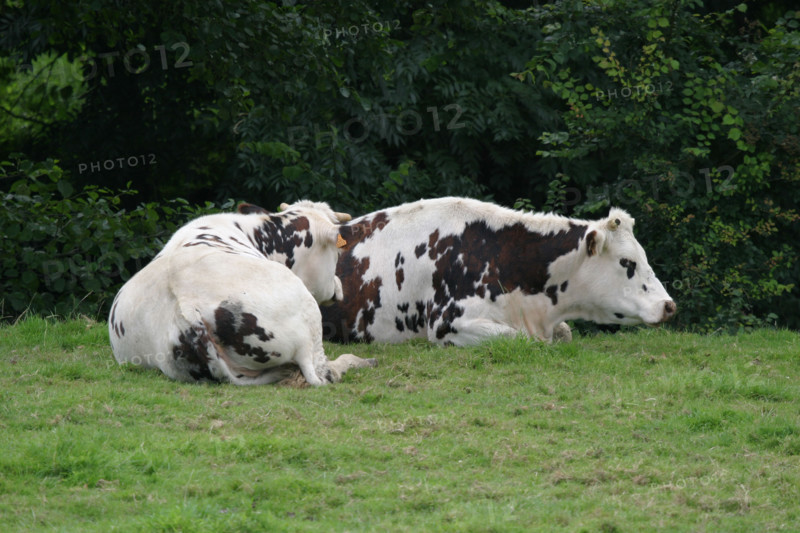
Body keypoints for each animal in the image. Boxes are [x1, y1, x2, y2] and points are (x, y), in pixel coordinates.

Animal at [108, 200, 376, 386]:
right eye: (337, 253)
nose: (338, 286)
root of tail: (185, 308)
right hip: (309, 325)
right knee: (324, 372)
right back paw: (361, 361)